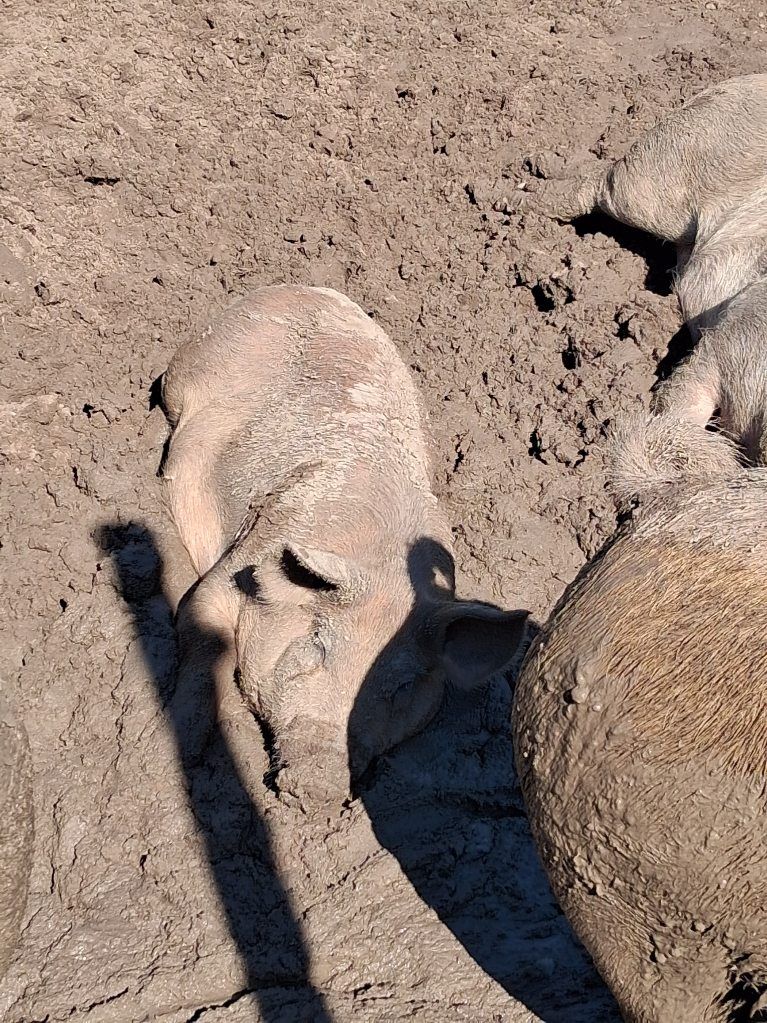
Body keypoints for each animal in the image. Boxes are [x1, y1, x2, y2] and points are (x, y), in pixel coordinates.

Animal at [158, 285, 527, 799]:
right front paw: (180, 753)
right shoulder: (236, 565)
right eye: (317, 646)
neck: (380, 559)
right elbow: (199, 635)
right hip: (187, 370)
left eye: (400, 688)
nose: (321, 781)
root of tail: (301, 288)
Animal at [531, 74, 767, 462]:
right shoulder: (730, 337)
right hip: (670, 165)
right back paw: (510, 194)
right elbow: (681, 398)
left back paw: (538, 163)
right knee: (605, 183)